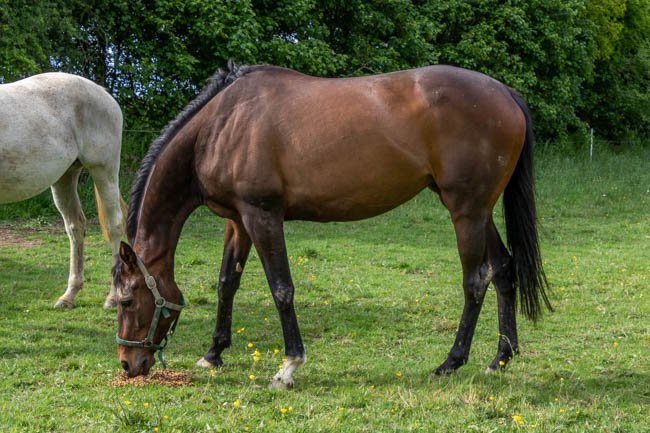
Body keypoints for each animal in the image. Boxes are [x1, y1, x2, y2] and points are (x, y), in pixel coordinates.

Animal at [1, 72, 126, 309]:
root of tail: (103, 92)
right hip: (65, 177)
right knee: (75, 227)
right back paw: (69, 296)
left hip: (104, 170)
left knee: (115, 226)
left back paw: (113, 297)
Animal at [113, 63, 551, 387]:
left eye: (127, 301)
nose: (128, 365)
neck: (222, 124)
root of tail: (505, 93)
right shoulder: (238, 221)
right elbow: (226, 284)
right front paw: (213, 353)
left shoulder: (262, 215)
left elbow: (281, 289)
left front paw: (288, 367)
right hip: (478, 211)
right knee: (504, 268)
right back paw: (500, 358)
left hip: (466, 212)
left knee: (476, 280)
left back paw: (451, 362)